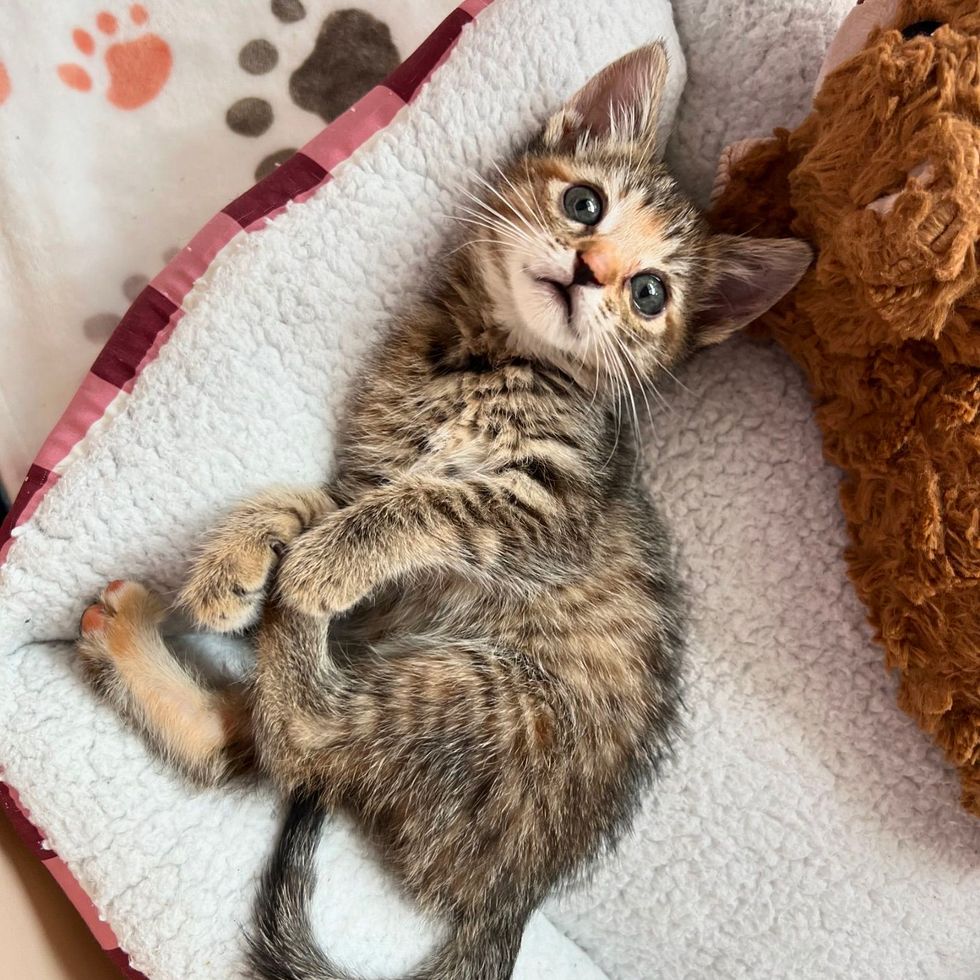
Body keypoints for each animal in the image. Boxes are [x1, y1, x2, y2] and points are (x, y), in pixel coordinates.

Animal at [78, 44, 812, 980]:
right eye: (585, 204)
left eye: (650, 294)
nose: (592, 271)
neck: (483, 355)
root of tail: (518, 896)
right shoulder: (374, 480)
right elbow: (317, 500)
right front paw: (238, 560)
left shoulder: (545, 511)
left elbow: (427, 506)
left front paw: (315, 565)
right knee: (244, 748)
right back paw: (139, 630)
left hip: (480, 698)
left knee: (298, 741)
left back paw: (270, 621)